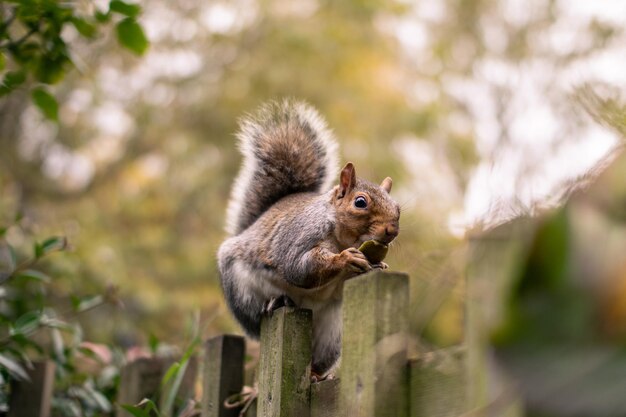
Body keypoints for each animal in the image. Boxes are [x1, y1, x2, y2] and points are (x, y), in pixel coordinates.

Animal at [217, 99, 398, 376]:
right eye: (360, 202)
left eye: (397, 207)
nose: (392, 230)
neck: (344, 238)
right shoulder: (300, 235)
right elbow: (298, 267)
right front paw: (345, 259)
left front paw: (379, 264)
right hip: (241, 289)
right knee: (256, 315)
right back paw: (276, 301)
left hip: (332, 332)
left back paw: (316, 375)